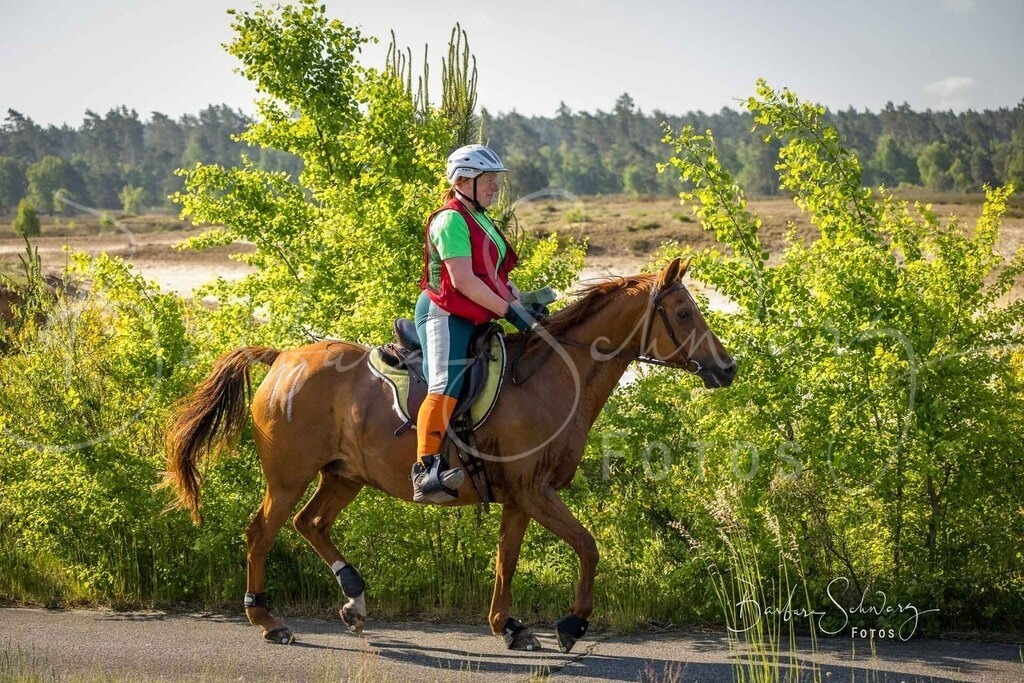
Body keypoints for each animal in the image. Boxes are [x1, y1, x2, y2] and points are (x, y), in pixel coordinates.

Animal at [162, 256, 736, 651]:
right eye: (684, 312)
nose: (727, 369)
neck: (553, 377)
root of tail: (282, 358)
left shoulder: (519, 497)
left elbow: (507, 560)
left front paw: (509, 627)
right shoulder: (534, 491)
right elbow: (588, 546)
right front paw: (572, 624)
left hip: (345, 475)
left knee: (312, 523)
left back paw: (354, 597)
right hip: (289, 476)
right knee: (262, 532)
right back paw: (269, 620)